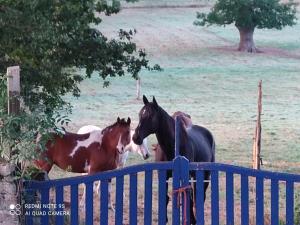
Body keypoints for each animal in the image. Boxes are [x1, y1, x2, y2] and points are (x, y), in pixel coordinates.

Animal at [132, 96, 214, 224]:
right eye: (140, 114)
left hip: (205, 174)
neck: (173, 145)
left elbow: (188, 199)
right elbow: (166, 198)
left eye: (150, 115)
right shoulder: (163, 175)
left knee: (198, 197)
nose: (136, 137)